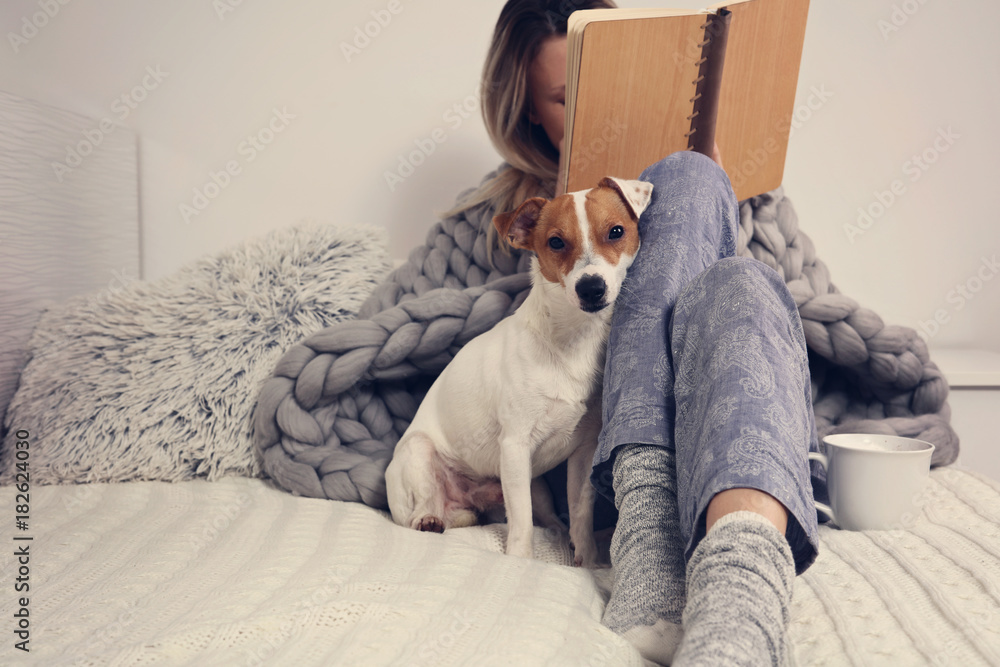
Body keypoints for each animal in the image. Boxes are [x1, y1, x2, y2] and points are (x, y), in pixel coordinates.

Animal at [384, 175, 656, 568]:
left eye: (616, 231)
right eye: (555, 242)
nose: (591, 288)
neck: (572, 341)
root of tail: (464, 503)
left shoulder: (583, 452)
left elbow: (581, 511)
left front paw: (587, 560)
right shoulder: (514, 445)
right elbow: (522, 523)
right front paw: (519, 562)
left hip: (534, 485)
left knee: (544, 516)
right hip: (420, 457)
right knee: (419, 511)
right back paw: (428, 519)